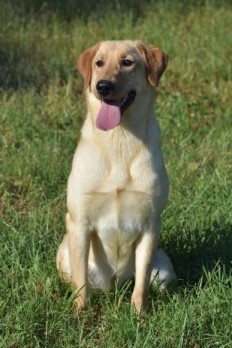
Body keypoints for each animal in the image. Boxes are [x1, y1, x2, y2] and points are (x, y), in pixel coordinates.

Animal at [56, 40, 176, 312]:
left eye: (127, 62)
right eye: (99, 63)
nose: (103, 86)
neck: (120, 140)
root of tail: (115, 284)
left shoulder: (151, 224)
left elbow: (141, 284)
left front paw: (139, 314)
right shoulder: (79, 222)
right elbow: (81, 283)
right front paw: (80, 314)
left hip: (164, 271)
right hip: (65, 251)